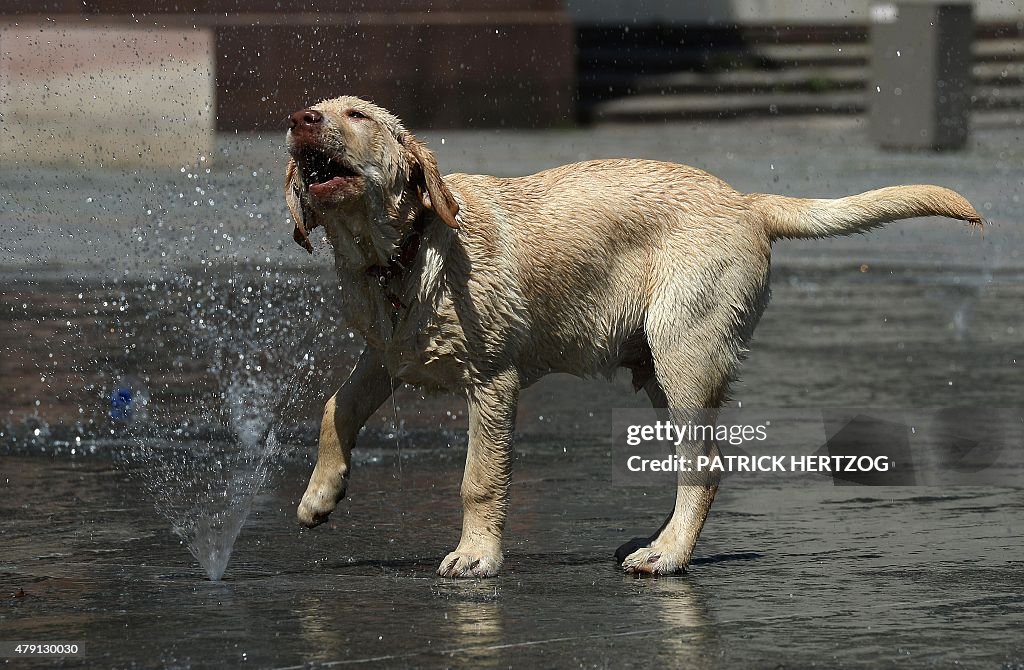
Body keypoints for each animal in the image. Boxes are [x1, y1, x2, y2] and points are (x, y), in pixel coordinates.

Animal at [282, 97, 983, 581]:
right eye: (316, 108)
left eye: (356, 114)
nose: (298, 119)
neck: (396, 258)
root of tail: (747, 201)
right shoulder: (384, 358)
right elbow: (334, 409)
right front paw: (320, 496)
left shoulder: (493, 382)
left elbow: (479, 476)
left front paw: (477, 555)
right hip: (657, 368)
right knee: (692, 464)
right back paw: (659, 539)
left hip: (685, 356)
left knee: (705, 465)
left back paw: (668, 554)